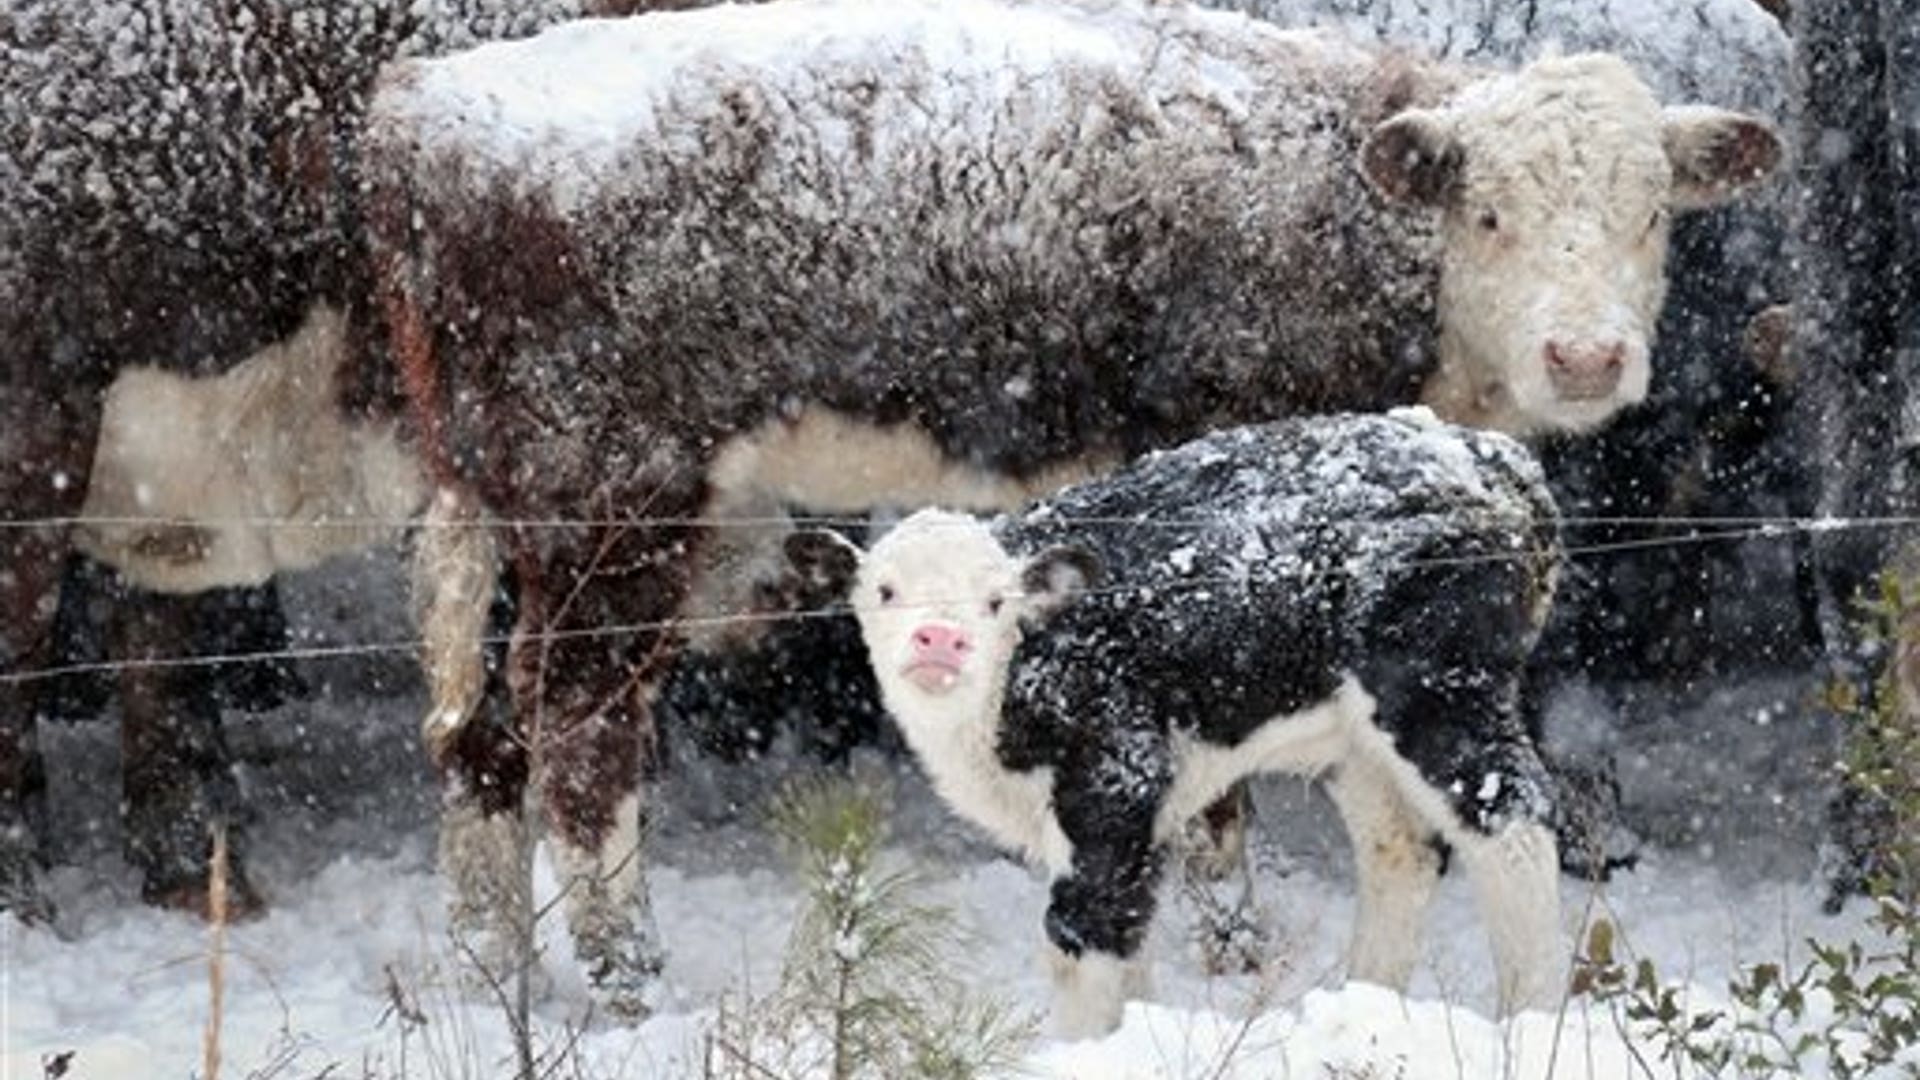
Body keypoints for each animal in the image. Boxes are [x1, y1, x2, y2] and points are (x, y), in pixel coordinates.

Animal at [785, 410, 1565, 1036]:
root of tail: (1489, 455)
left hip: (1435, 688)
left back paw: (1528, 1018)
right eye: (886, 591)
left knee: (1514, 825)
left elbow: (1085, 938)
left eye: (995, 602)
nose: (941, 640)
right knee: (1400, 853)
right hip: (1355, 738)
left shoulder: (1114, 779)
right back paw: (1367, 1004)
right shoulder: (1143, 817)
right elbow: (1132, 937)